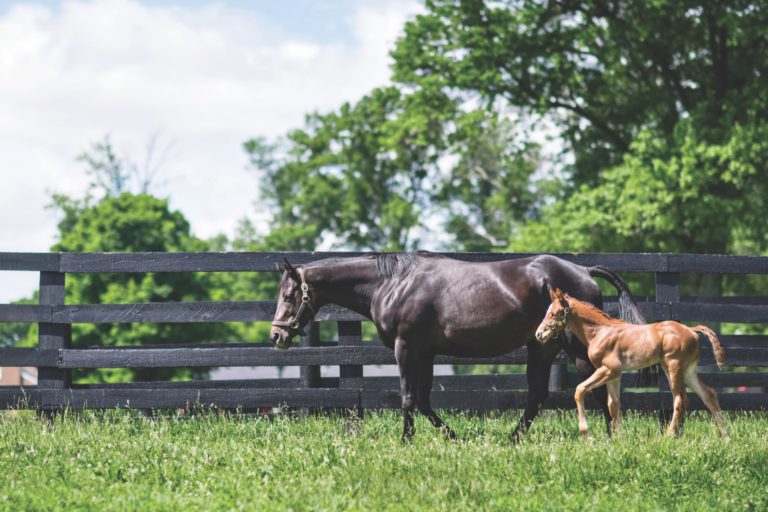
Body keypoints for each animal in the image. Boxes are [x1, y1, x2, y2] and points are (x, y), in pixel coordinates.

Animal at [270, 252, 640, 440]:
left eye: (288, 295)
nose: (277, 336)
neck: (393, 283)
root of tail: (584, 270)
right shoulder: (425, 353)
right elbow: (423, 399)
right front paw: (452, 435)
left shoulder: (406, 348)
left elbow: (408, 397)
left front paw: (407, 440)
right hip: (543, 347)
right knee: (542, 394)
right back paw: (516, 438)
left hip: (572, 347)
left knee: (595, 387)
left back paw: (607, 437)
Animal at [536, 290, 728, 438]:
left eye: (554, 313)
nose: (539, 334)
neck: (600, 332)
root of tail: (691, 330)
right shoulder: (614, 375)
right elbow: (613, 404)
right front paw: (619, 439)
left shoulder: (609, 369)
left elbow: (579, 390)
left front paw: (586, 433)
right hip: (687, 370)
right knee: (708, 394)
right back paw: (725, 438)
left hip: (673, 366)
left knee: (680, 400)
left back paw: (667, 436)